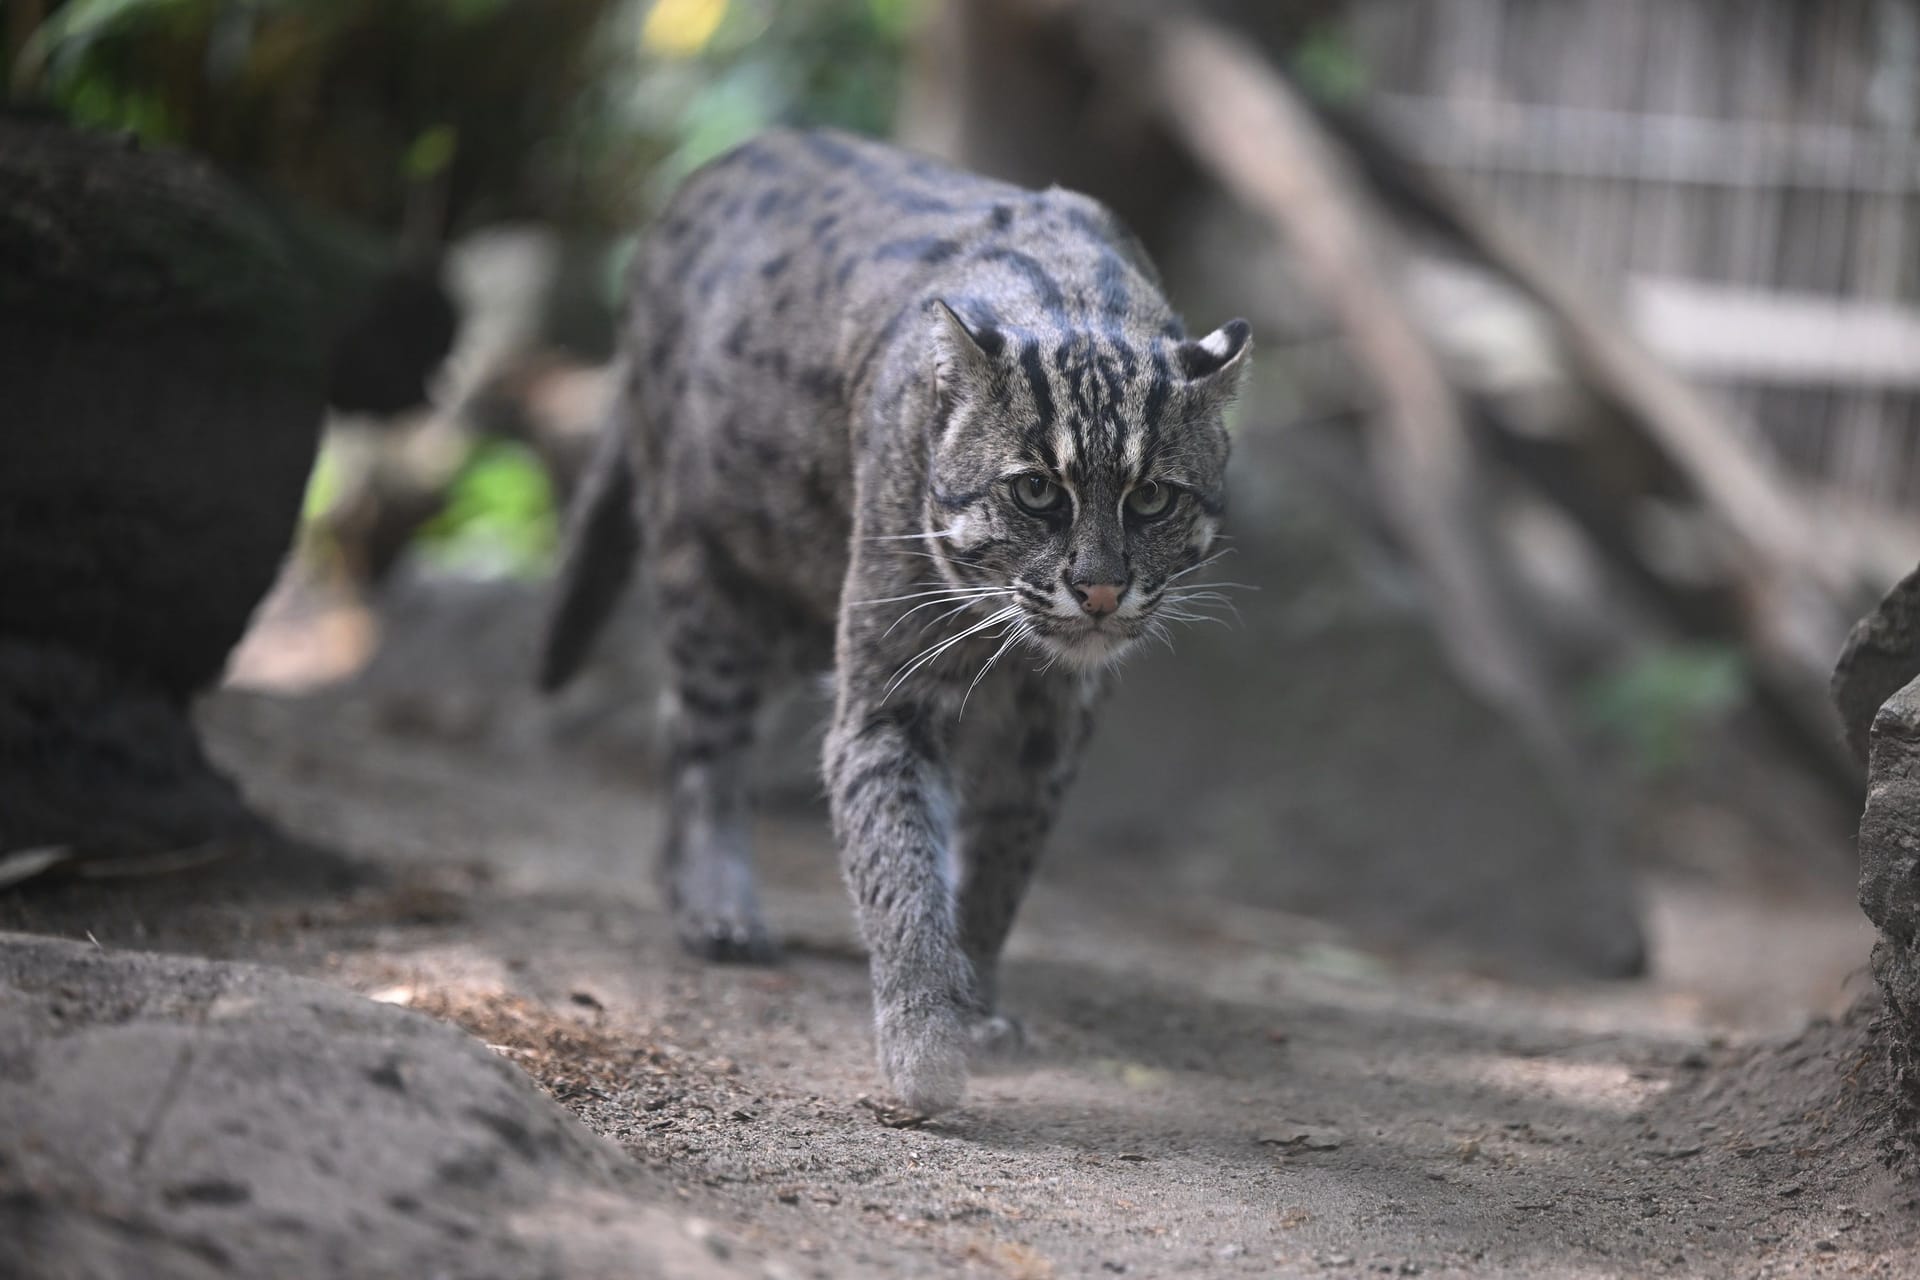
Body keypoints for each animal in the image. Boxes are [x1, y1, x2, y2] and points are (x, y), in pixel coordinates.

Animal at [545, 130, 1244, 1113]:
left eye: (1151, 498)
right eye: (1036, 491)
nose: (1099, 591)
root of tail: (706, 178)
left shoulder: (1051, 728)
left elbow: (998, 868)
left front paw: (974, 1002)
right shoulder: (889, 699)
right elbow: (899, 866)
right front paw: (925, 1040)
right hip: (715, 574)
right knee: (702, 736)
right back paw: (718, 908)